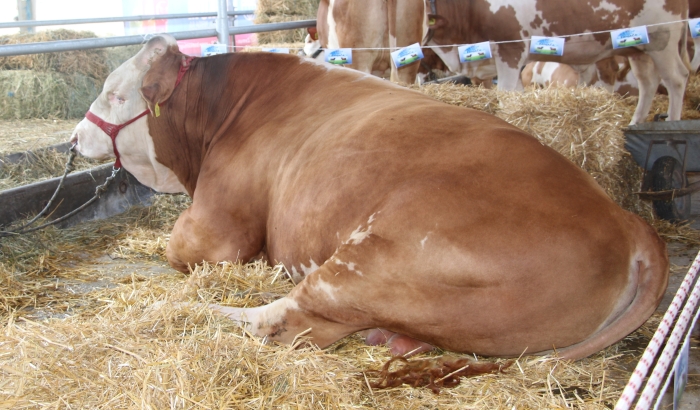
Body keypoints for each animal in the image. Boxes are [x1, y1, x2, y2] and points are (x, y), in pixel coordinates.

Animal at [69, 36, 668, 360]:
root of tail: (624, 219)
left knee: (290, 320)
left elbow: (180, 250)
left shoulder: (217, 226)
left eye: (114, 94)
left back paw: (199, 309)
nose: (75, 139)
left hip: (378, 254)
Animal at [426, 0, 688, 124]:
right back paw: (634, 123)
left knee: (677, 78)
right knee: (648, 82)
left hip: (662, 38)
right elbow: (518, 94)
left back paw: (673, 123)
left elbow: (507, 94)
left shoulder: (510, 50)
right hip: (638, 49)